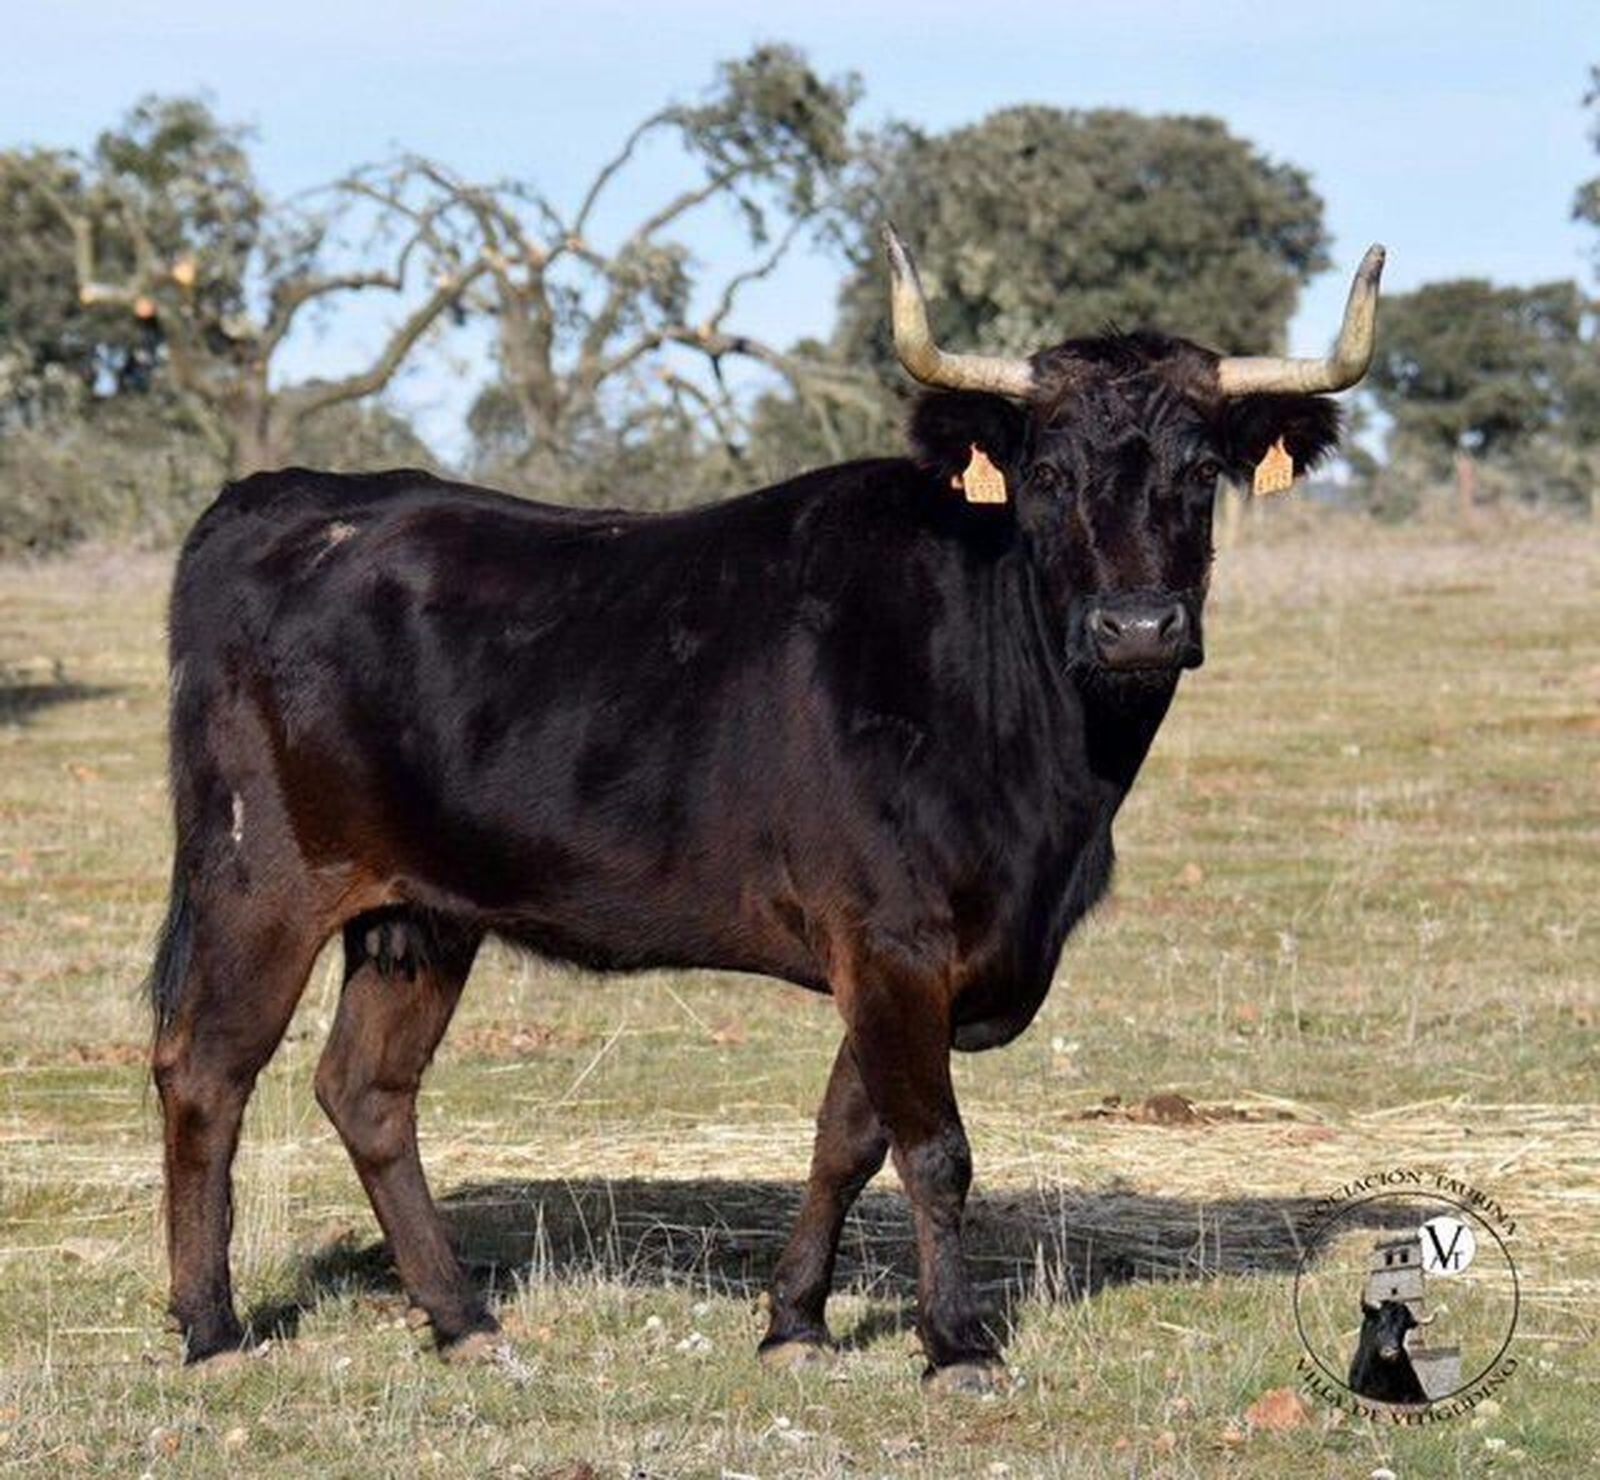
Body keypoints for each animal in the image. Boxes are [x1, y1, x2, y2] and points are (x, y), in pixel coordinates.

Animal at [147, 226, 1384, 1388]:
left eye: (1198, 469)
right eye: (1046, 472)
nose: (1136, 627)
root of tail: (287, 497)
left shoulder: (901, 961)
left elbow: (848, 1136)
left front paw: (795, 1321)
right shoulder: (891, 939)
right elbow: (934, 1148)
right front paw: (956, 1343)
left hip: (420, 915)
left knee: (366, 1090)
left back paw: (463, 1322)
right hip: (262, 881)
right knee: (206, 1073)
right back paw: (213, 1331)